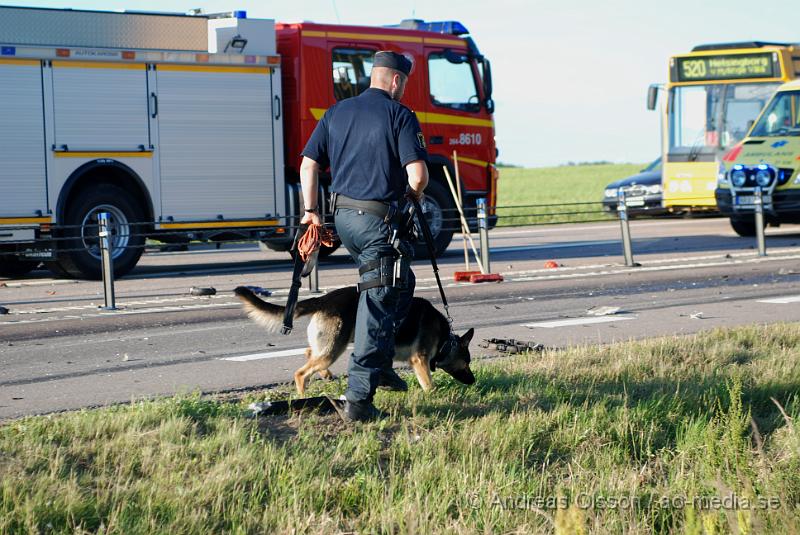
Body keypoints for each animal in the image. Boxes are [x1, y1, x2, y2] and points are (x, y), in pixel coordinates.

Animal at [233, 286, 476, 396]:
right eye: (467, 363)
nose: (473, 381)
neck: (445, 340)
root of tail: (323, 299)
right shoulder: (420, 360)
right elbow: (429, 384)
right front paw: (433, 395)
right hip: (333, 349)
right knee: (301, 372)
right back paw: (303, 394)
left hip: (329, 346)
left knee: (309, 353)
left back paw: (324, 375)